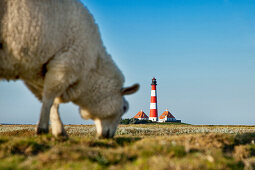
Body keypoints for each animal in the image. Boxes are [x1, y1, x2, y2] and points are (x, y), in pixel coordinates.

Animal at [0, 0, 139, 138]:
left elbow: (49, 100)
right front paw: (48, 129)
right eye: (124, 108)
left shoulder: (37, 71)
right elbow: (50, 98)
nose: (108, 136)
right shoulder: (63, 65)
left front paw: (56, 131)